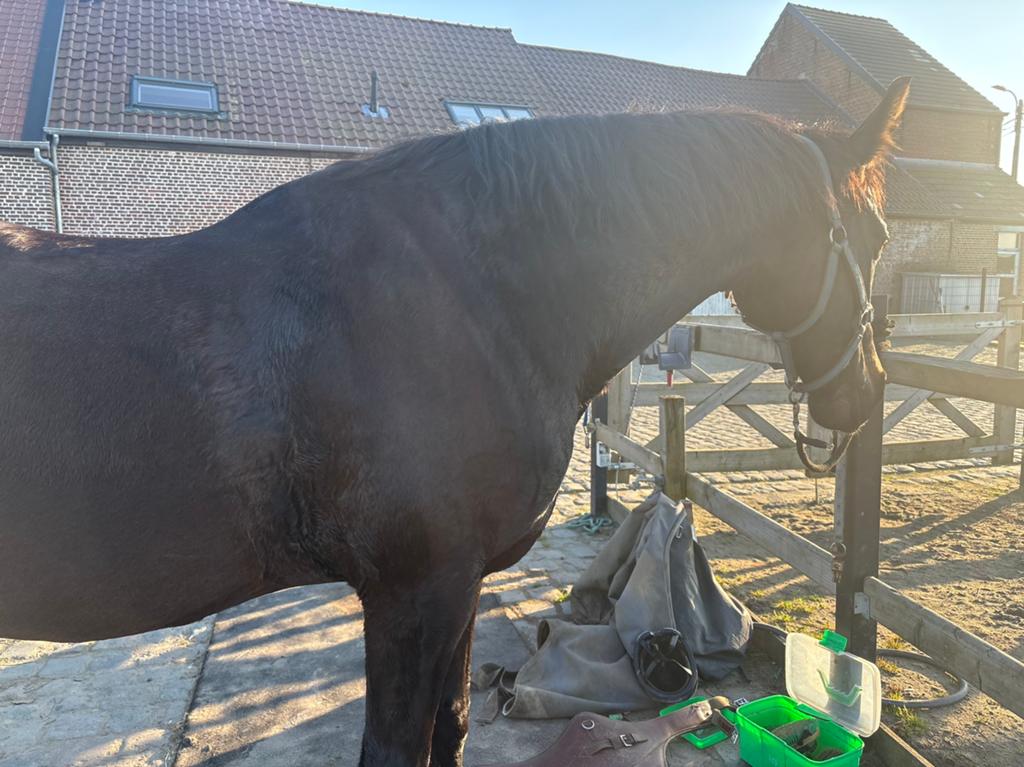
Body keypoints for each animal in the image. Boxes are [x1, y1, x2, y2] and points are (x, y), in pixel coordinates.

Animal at [0, 77, 909, 766]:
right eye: (876, 235)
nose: (865, 396)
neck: (475, 297)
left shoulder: (459, 586)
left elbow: (455, 727)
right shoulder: (412, 593)